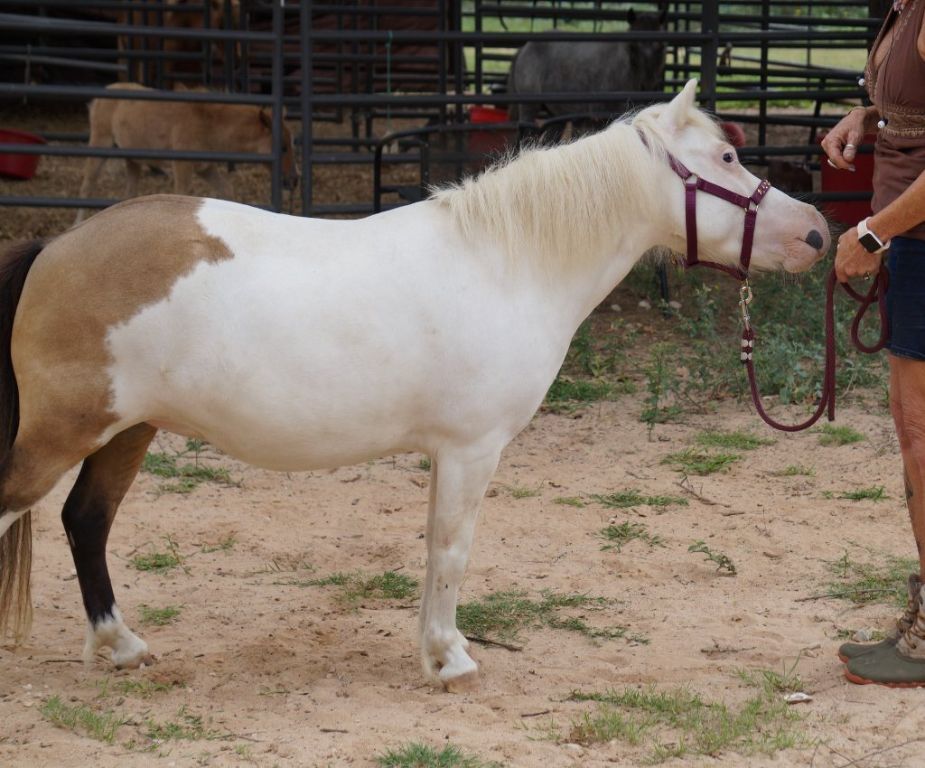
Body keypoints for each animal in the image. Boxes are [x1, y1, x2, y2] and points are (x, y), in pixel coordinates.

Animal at [74, 82, 299, 224]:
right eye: (282, 147)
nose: (293, 180)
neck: (207, 123)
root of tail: (99, 97)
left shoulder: (205, 168)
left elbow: (226, 190)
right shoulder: (183, 165)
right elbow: (183, 191)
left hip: (133, 160)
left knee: (129, 193)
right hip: (100, 146)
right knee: (86, 186)